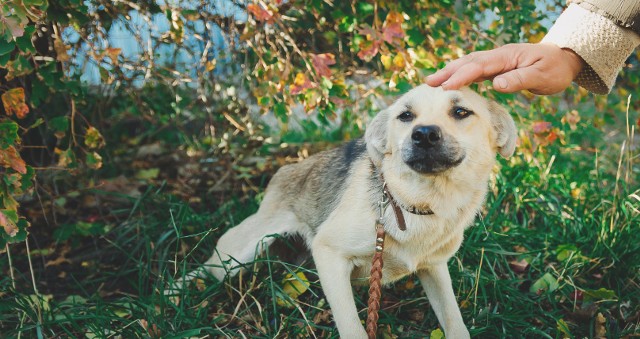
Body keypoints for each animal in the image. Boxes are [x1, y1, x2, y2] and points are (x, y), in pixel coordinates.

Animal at [199, 84, 516, 338]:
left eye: (461, 112)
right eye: (405, 116)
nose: (424, 134)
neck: (417, 204)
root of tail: (286, 169)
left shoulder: (435, 268)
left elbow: (455, 322)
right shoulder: (329, 255)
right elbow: (353, 328)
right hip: (237, 256)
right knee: (207, 268)